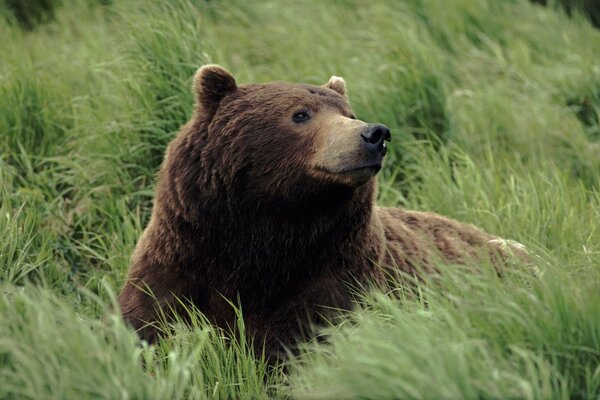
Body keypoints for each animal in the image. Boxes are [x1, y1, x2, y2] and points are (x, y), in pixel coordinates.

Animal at [118, 65, 524, 360]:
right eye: (300, 114)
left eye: (349, 113)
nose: (375, 134)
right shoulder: (184, 255)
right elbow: (152, 322)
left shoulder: (335, 272)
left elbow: (310, 337)